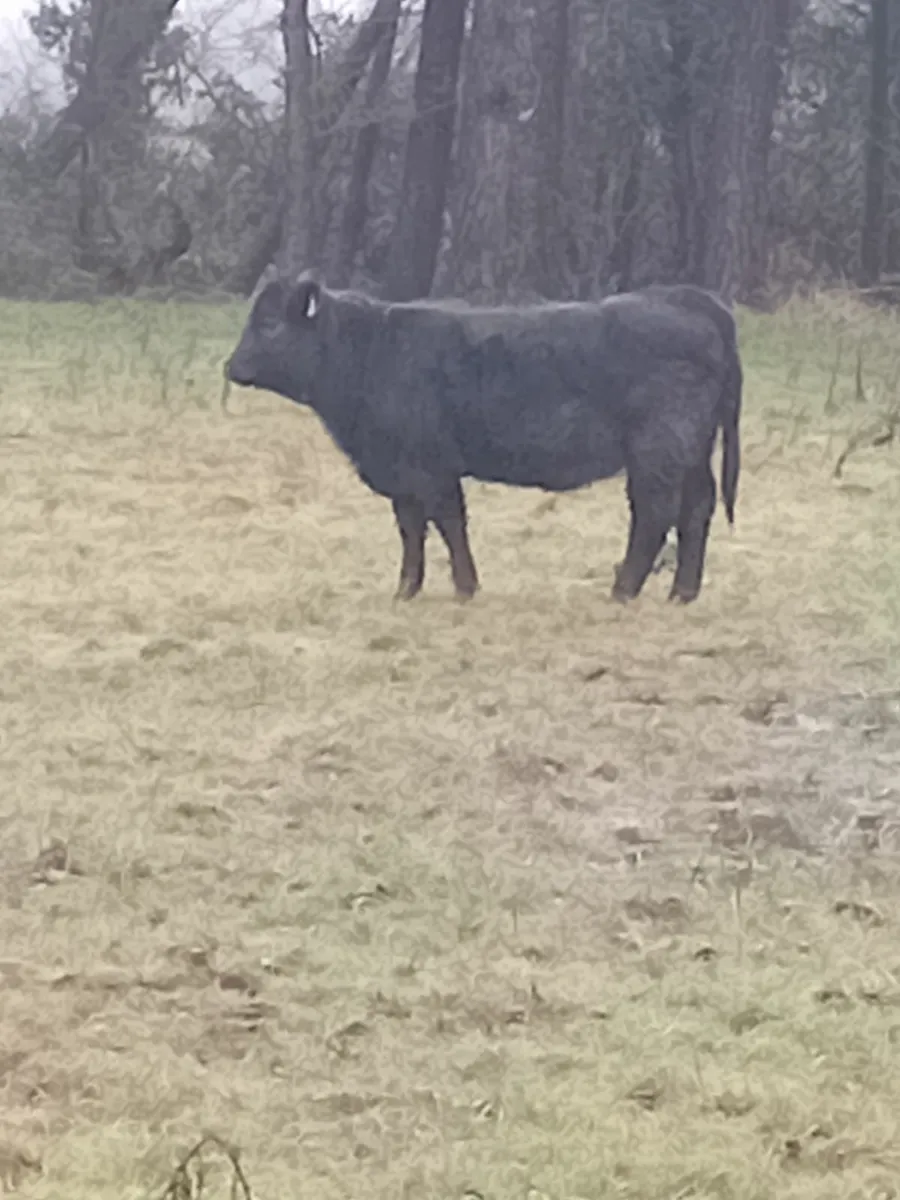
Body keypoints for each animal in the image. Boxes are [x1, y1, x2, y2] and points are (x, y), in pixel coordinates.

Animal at [225, 272, 742, 605]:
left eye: (269, 324)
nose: (232, 366)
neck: (370, 352)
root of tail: (686, 297)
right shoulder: (402, 473)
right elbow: (411, 530)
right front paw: (406, 590)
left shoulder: (429, 466)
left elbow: (448, 523)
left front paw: (464, 587)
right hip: (694, 450)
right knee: (696, 509)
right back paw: (682, 593)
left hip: (658, 450)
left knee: (655, 513)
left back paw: (623, 590)